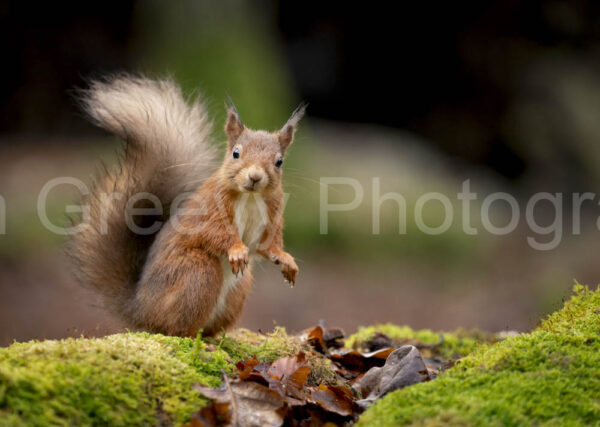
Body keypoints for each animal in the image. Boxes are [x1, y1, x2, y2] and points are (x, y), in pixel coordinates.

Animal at [68, 75, 304, 337]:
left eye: (279, 161)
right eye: (235, 153)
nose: (254, 177)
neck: (250, 197)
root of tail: (139, 309)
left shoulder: (272, 213)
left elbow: (267, 245)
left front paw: (286, 260)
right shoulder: (209, 209)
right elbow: (214, 233)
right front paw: (236, 249)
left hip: (238, 287)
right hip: (197, 272)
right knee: (175, 329)